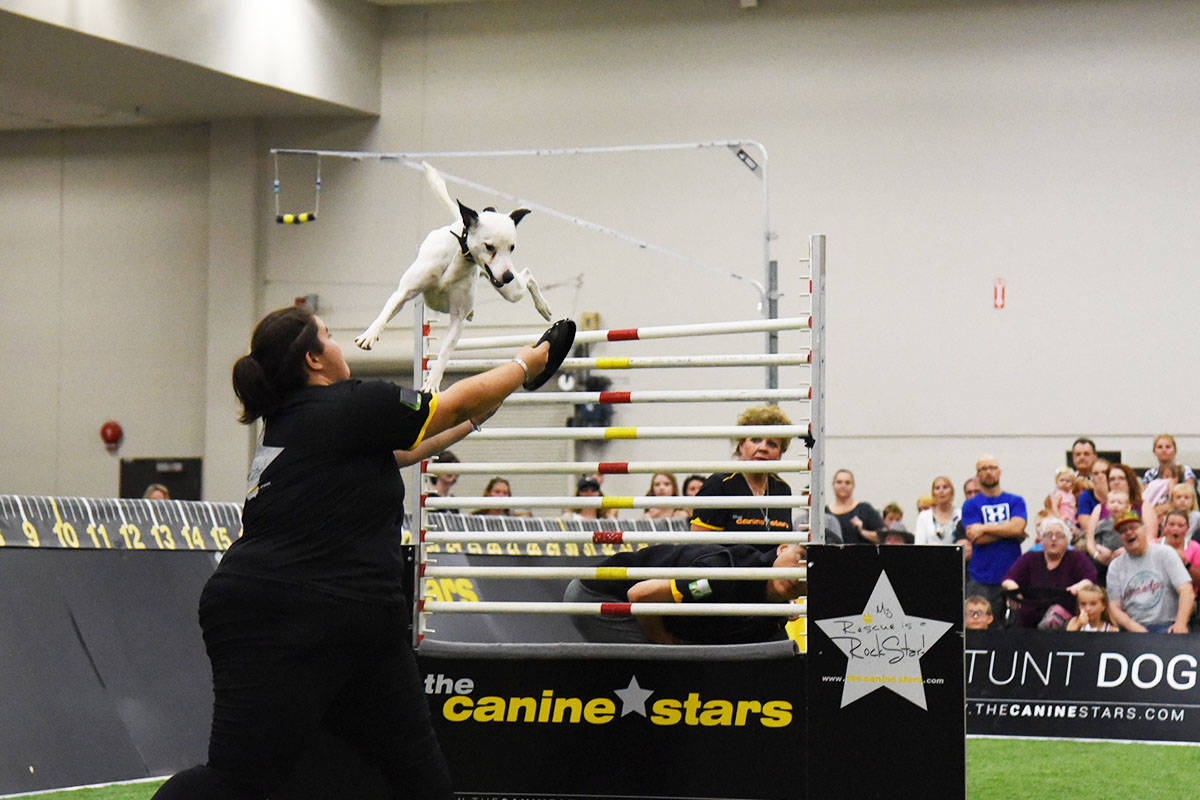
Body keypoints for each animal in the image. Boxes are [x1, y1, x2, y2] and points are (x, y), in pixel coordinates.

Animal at [350, 160, 549, 388]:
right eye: (489, 246)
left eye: (512, 247)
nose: (507, 276)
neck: (459, 258)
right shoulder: (405, 291)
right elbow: (387, 311)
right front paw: (369, 334)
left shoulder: (457, 318)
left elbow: (444, 352)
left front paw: (432, 383)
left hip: (512, 291)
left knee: (527, 275)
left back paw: (543, 307)